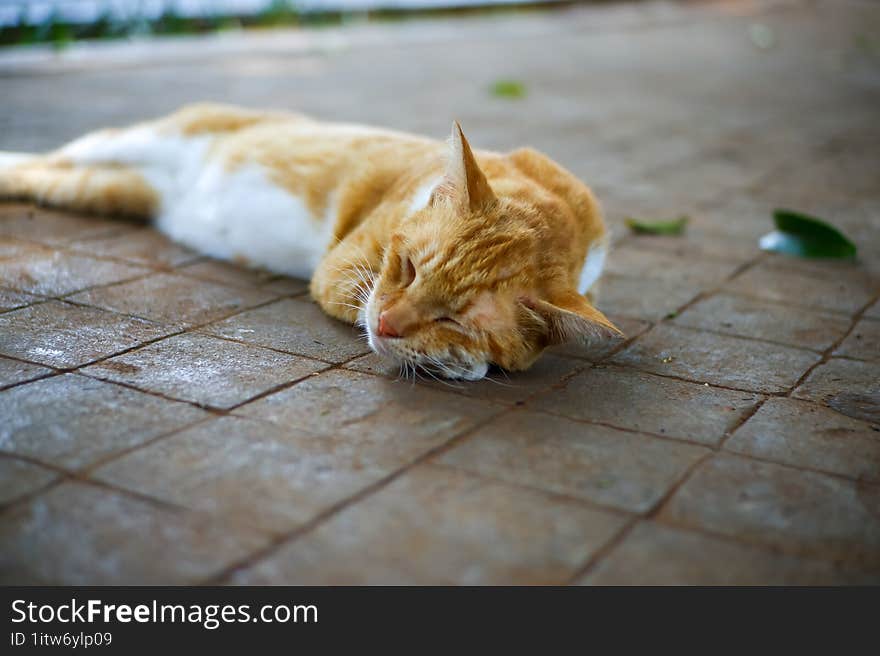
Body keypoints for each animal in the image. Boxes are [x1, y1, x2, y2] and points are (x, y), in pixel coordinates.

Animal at [0, 102, 620, 380]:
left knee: (46, 174)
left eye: (454, 318)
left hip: (101, 189)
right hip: (137, 139)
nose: (389, 324)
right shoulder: (342, 272)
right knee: (58, 152)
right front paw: (459, 365)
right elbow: (362, 304)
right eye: (408, 268)